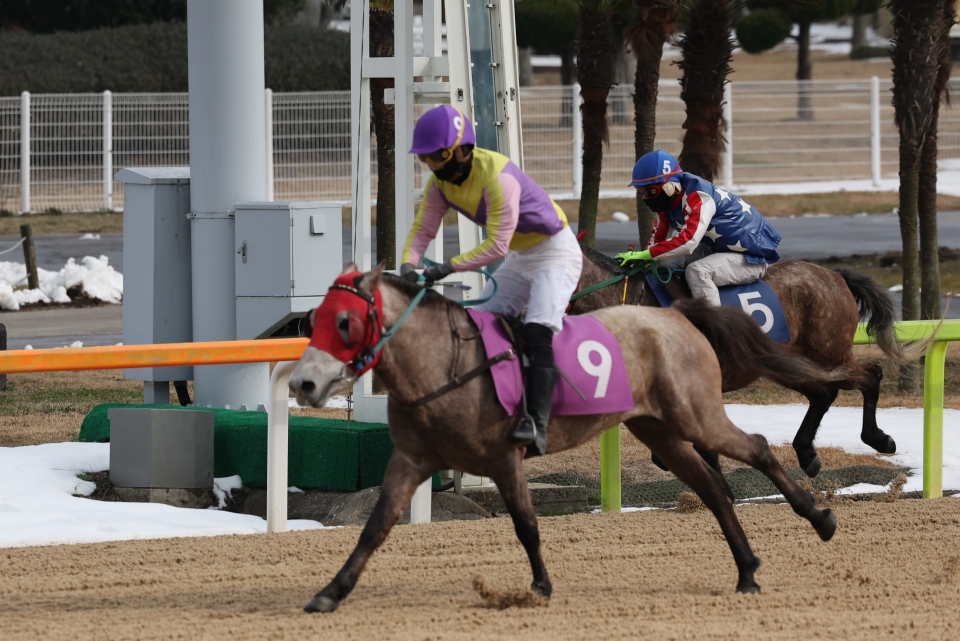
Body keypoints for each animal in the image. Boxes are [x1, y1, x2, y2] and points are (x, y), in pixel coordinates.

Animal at [288, 264, 844, 608]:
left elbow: (527, 526)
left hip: (695, 414)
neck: (442, 363)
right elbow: (374, 528)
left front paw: (539, 586)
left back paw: (820, 518)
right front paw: (330, 592)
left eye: (345, 321)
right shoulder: (410, 459)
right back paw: (747, 570)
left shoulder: (504, 456)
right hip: (659, 429)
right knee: (712, 488)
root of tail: (675, 314)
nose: (302, 383)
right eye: (314, 319)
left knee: (755, 448)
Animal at [568, 245, 924, 476]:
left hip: (830, 354)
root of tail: (834, 276)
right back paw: (807, 454)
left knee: (871, 375)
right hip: (788, 362)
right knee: (823, 394)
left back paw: (878, 438)